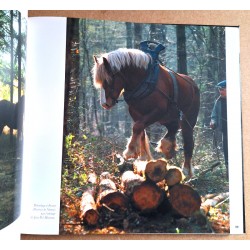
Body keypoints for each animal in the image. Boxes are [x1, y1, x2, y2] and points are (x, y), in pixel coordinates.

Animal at [93, 48, 200, 177]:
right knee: (172, 129)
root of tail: (193, 85)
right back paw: (168, 149)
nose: (105, 103)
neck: (144, 80)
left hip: (188, 119)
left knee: (188, 142)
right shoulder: (136, 114)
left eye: (109, 80)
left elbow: (137, 127)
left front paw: (130, 151)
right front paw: (144, 157)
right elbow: (141, 132)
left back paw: (186, 170)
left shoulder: (158, 110)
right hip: (169, 118)